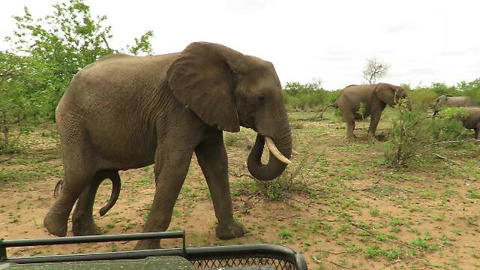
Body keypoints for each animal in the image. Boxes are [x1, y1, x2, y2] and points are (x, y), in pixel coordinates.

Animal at [44, 41, 292, 250]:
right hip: (73, 119)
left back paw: (90, 234)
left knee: (93, 175)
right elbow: (174, 165)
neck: (234, 57)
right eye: (260, 99)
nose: (261, 135)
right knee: (80, 172)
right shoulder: (177, 109)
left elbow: (217, 163)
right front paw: (146, 251)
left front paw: (232, 234)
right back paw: (54, 231)